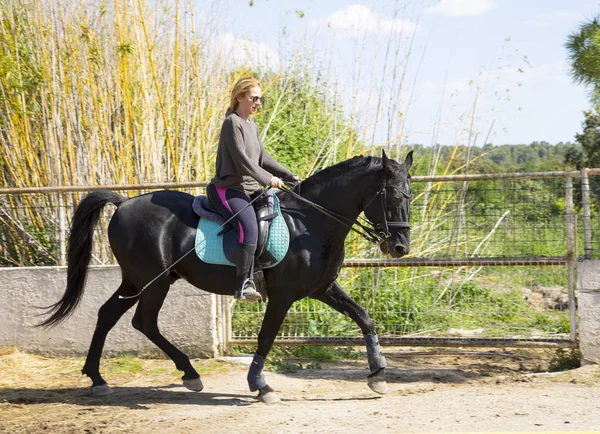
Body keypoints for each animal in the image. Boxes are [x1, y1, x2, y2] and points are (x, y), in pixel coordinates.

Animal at [38, 150, 412, 404]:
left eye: (411, 195)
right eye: (393, 196)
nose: (400, 247)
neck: (309, 223)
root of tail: (123, 203)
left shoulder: (322, 288)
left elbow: (364, 318)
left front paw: (378, 374)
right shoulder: (283, 295)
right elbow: (266, 338)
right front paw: (261, 386)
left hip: (136, 280)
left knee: (108, 315)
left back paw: (99, 378)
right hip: (154, 281)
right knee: (143, 322)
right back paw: (187, 374)